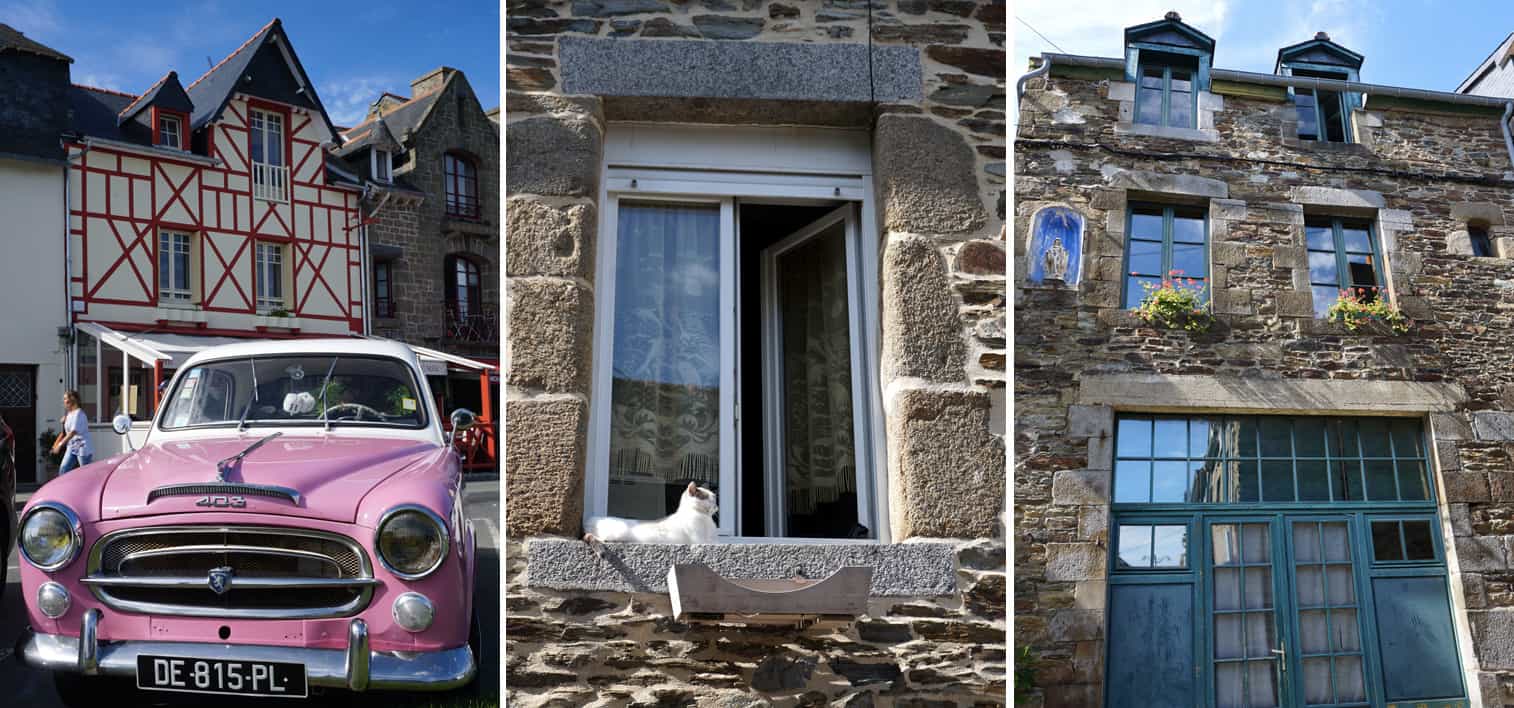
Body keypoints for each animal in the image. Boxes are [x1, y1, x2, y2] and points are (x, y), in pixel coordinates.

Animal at [581, 481, 717, 547]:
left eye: (714, 498)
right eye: (707, 498)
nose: (716, 506)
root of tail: (590, 520)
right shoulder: (702, 540)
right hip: (617, 532)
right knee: (600, 538)